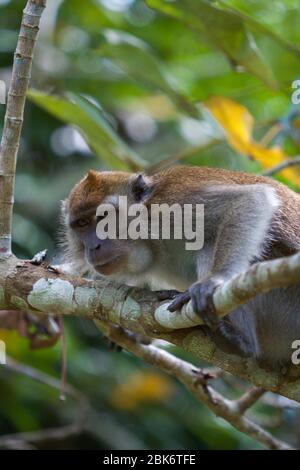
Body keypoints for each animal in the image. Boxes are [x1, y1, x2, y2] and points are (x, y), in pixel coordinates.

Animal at [61, 166, 300, 370]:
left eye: (103, 216)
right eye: (82, 224)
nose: (93, 247)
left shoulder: (172, 203)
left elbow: (250, 200)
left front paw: (215, 281)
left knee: (211, 243)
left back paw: (238, 339)